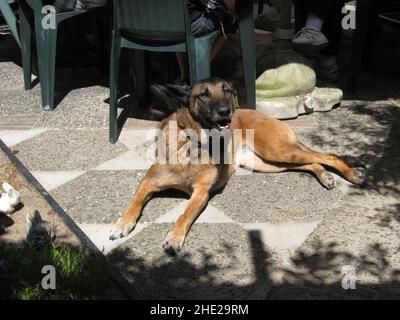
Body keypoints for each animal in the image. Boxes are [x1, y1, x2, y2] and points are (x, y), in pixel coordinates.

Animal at [109, 77, 366, 255]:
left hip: (276, 150)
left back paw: (351, 174)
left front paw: (174, 237)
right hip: (269, 162)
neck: (194, 141)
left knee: (327, 155)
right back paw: (325, 176)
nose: (226, 111)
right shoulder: (148, 182)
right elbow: (134, 203)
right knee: (311, 162)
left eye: (227, 91)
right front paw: (122, 223)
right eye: (204, 94)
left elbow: (184, 215)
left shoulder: (201, 193)